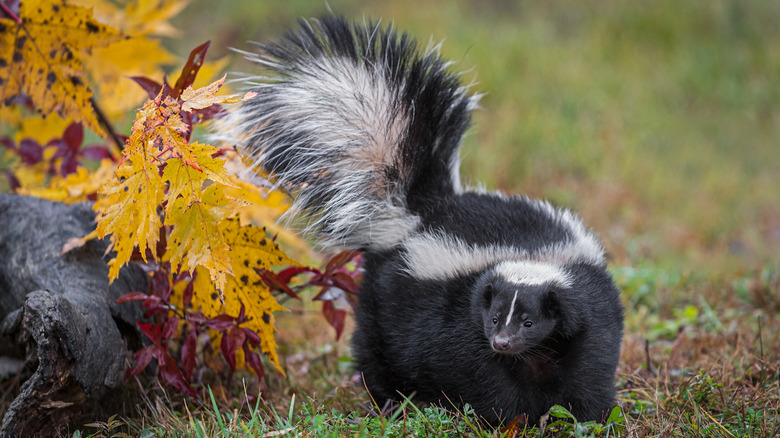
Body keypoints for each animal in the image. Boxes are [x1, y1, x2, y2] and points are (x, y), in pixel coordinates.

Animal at [215, 16, 628, 424]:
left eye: (529, 323)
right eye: (495, 319)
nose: (502, 342)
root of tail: (421, 208)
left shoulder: (588, 315)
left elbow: (588, 369)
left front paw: (586, 416)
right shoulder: (459, 320)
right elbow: (485, 377)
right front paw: (509, 420)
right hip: (385, 298)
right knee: (375, 349)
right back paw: (388, 400)